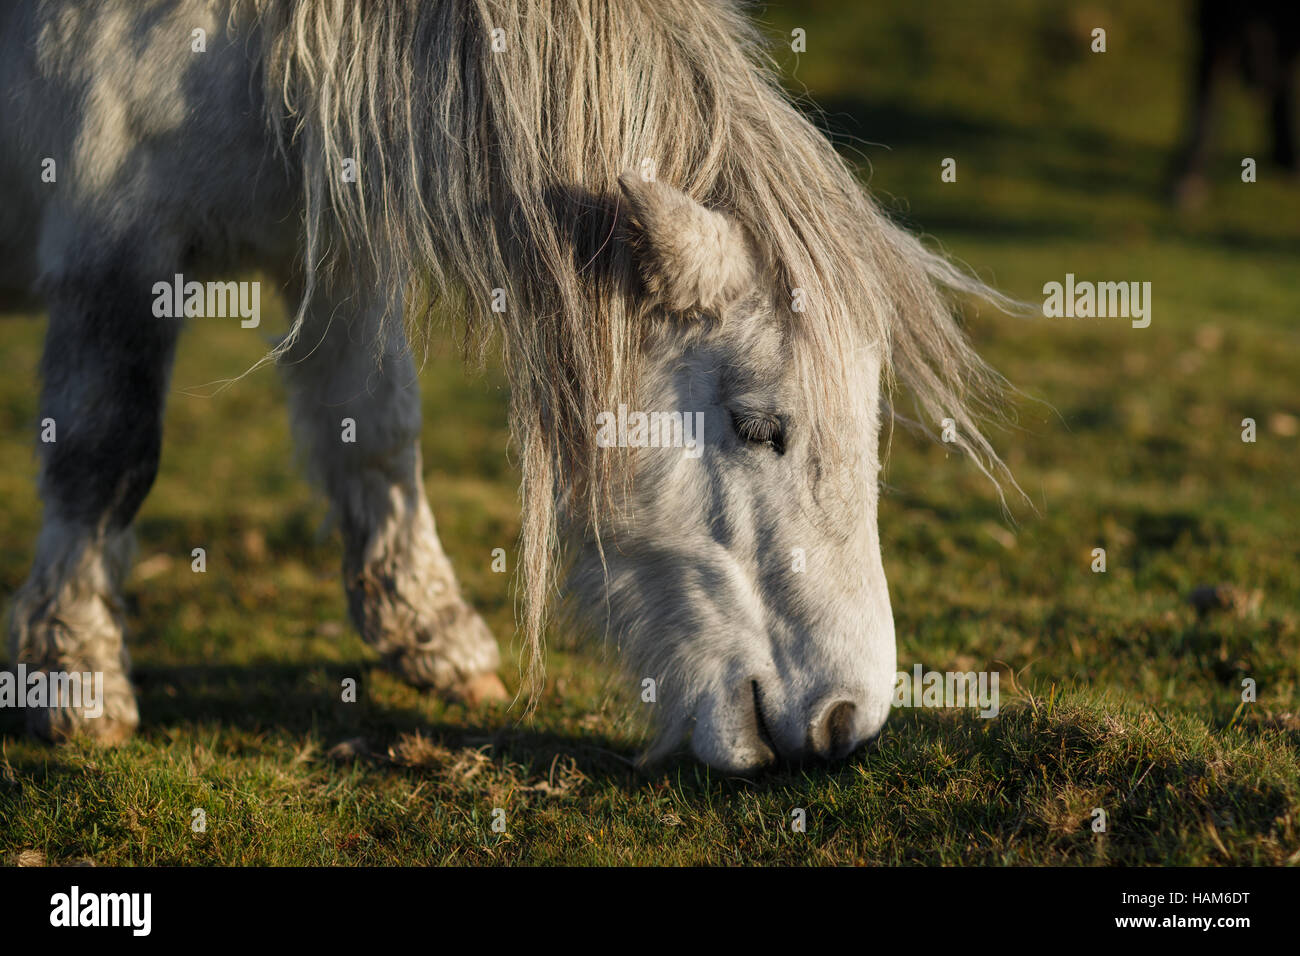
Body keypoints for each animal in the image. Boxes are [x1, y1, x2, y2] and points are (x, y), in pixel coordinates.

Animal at [0, 0, 1008, 775]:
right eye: (758, 426)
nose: (848, 721)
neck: (261, 38)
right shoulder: (120, 248)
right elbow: (107, 454)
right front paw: (79, 679)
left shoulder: (331, 260)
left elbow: (376, 431)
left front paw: (433, 636)